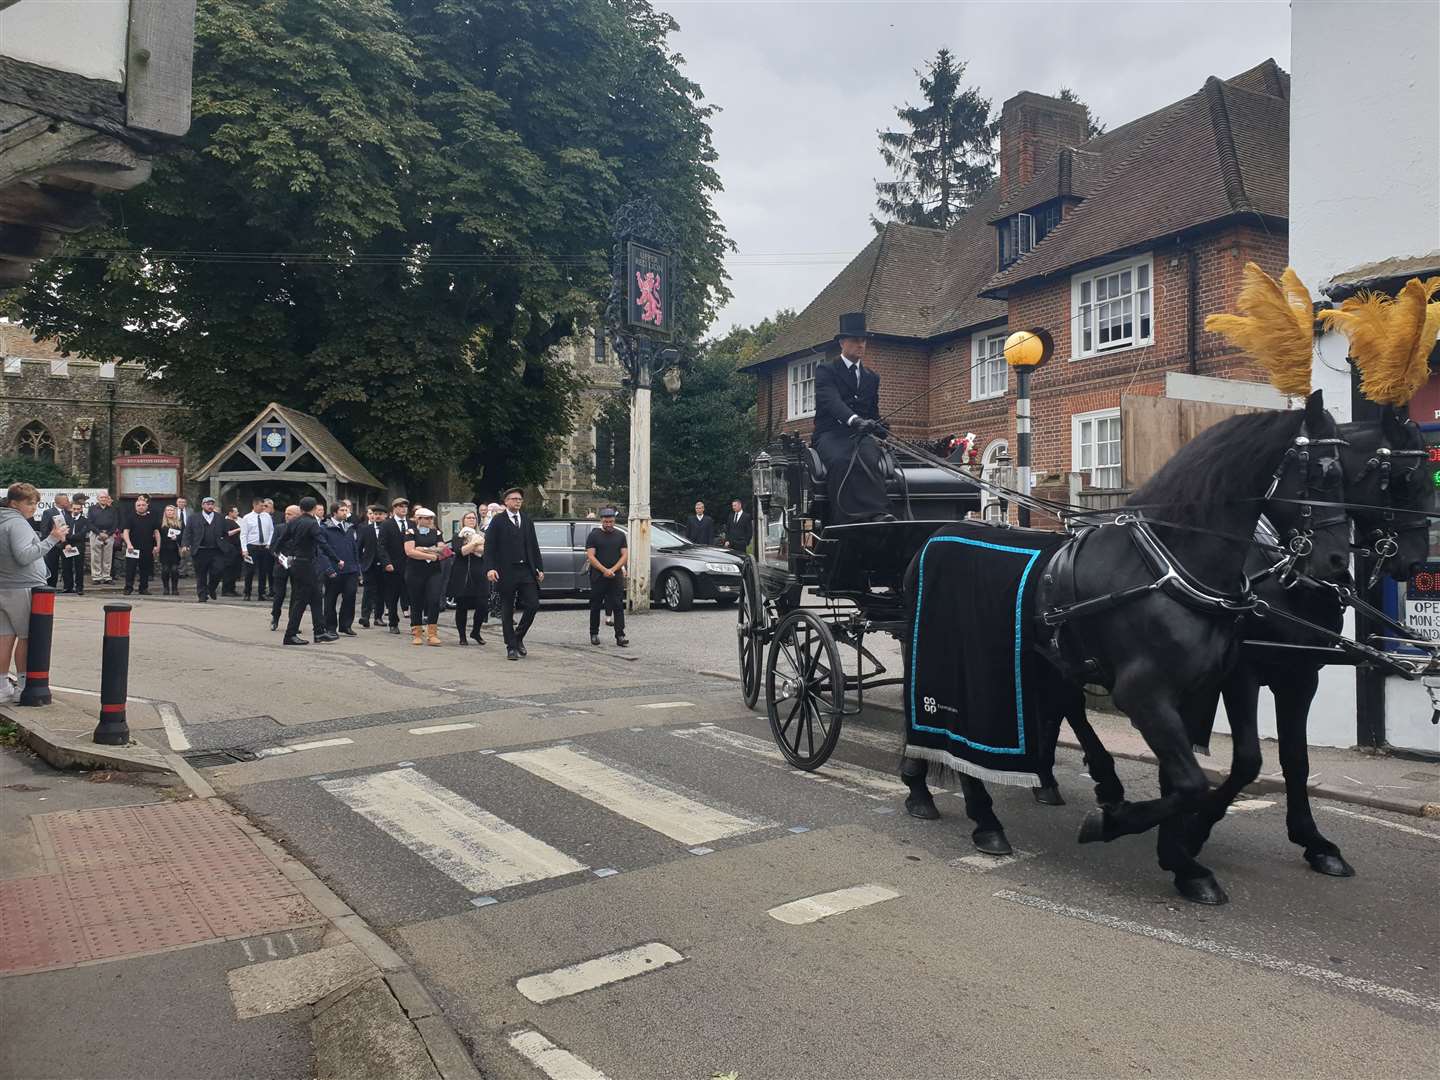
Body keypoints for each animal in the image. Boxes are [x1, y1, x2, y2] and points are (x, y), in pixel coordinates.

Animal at [898, 394, 1347, 904]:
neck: (1169, 565)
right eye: (1322, 473)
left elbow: (1187, 778)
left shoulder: (1197, 690)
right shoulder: (1145, 693)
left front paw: (1183, 860)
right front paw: (1112, 823)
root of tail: (931, 538)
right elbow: (1191, 782)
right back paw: (974, 814)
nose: (1336, 561)